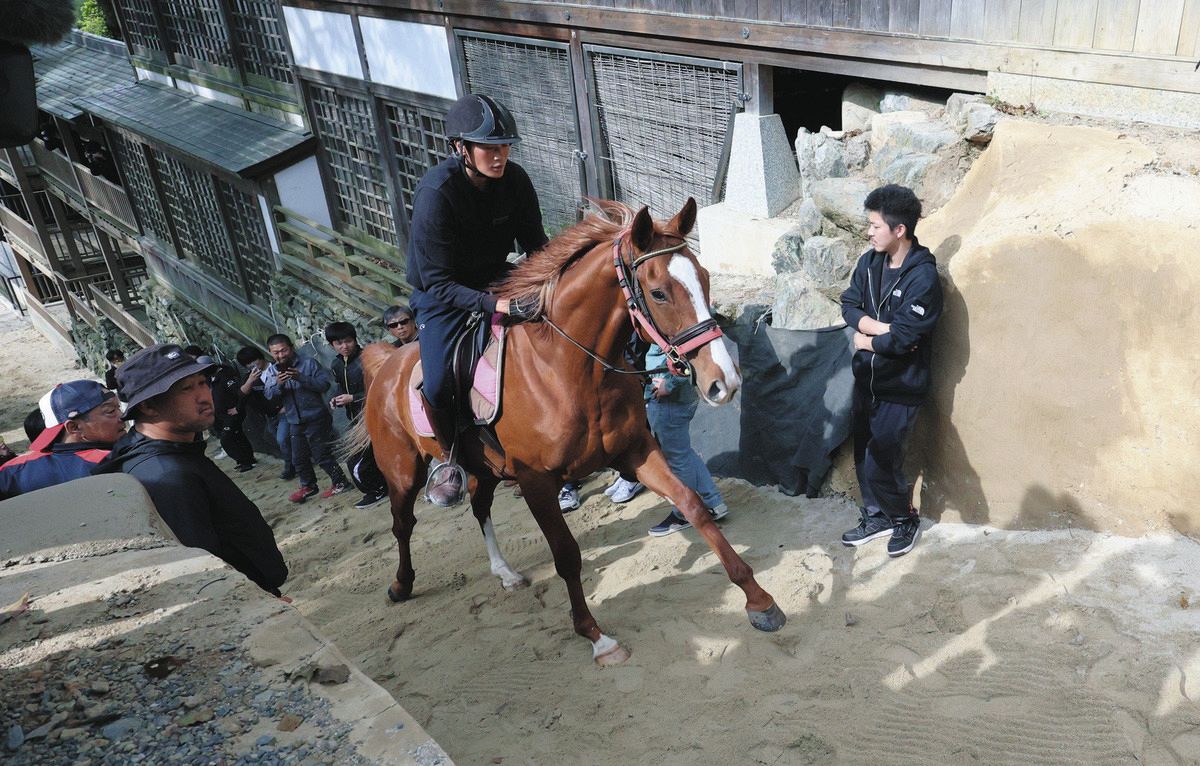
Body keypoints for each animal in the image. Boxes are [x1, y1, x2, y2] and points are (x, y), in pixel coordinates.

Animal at [354, 198, 786, 665]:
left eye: (704, 279)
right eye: (658, 293)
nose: (724, 381)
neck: (570, 368)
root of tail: (387, 364)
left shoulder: (636, 450)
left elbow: (693, 505)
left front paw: (759, 600)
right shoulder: (536, 481)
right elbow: (566, 555)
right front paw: (596, 636)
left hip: (484, 469)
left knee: (479, 507)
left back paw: (505, 572)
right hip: (402, 471)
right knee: (402, 523)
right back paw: (401, 584)